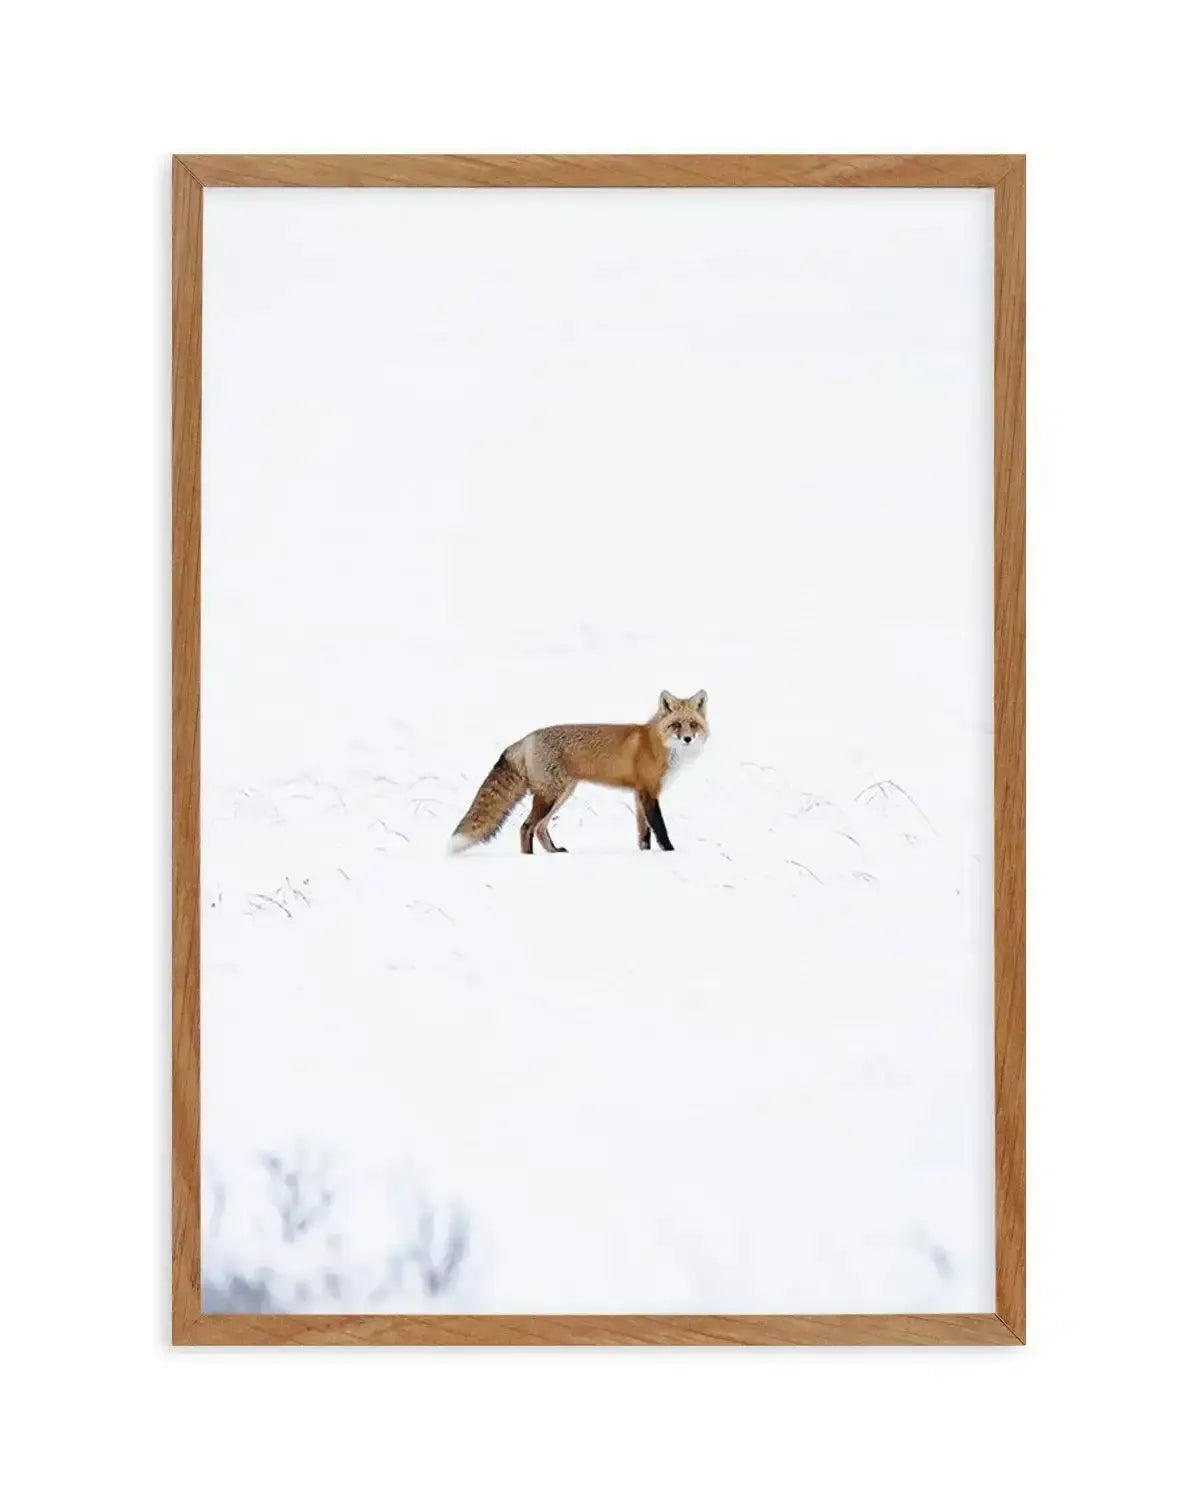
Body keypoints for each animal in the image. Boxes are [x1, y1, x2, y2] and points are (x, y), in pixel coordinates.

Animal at [449, 689, 708, 854]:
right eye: (676, 725)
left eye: (693, 725)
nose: (687, 739)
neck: (659, 745)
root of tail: (527, 738)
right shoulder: (648, 792)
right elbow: (660, 829)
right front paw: (670, 852)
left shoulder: (638, 795)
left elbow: (643, 834)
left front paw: (646, 854)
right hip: (550, 795)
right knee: (526, 827)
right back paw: (529, 859)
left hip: (562, 794)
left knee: (539, 828)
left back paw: (554, 851)